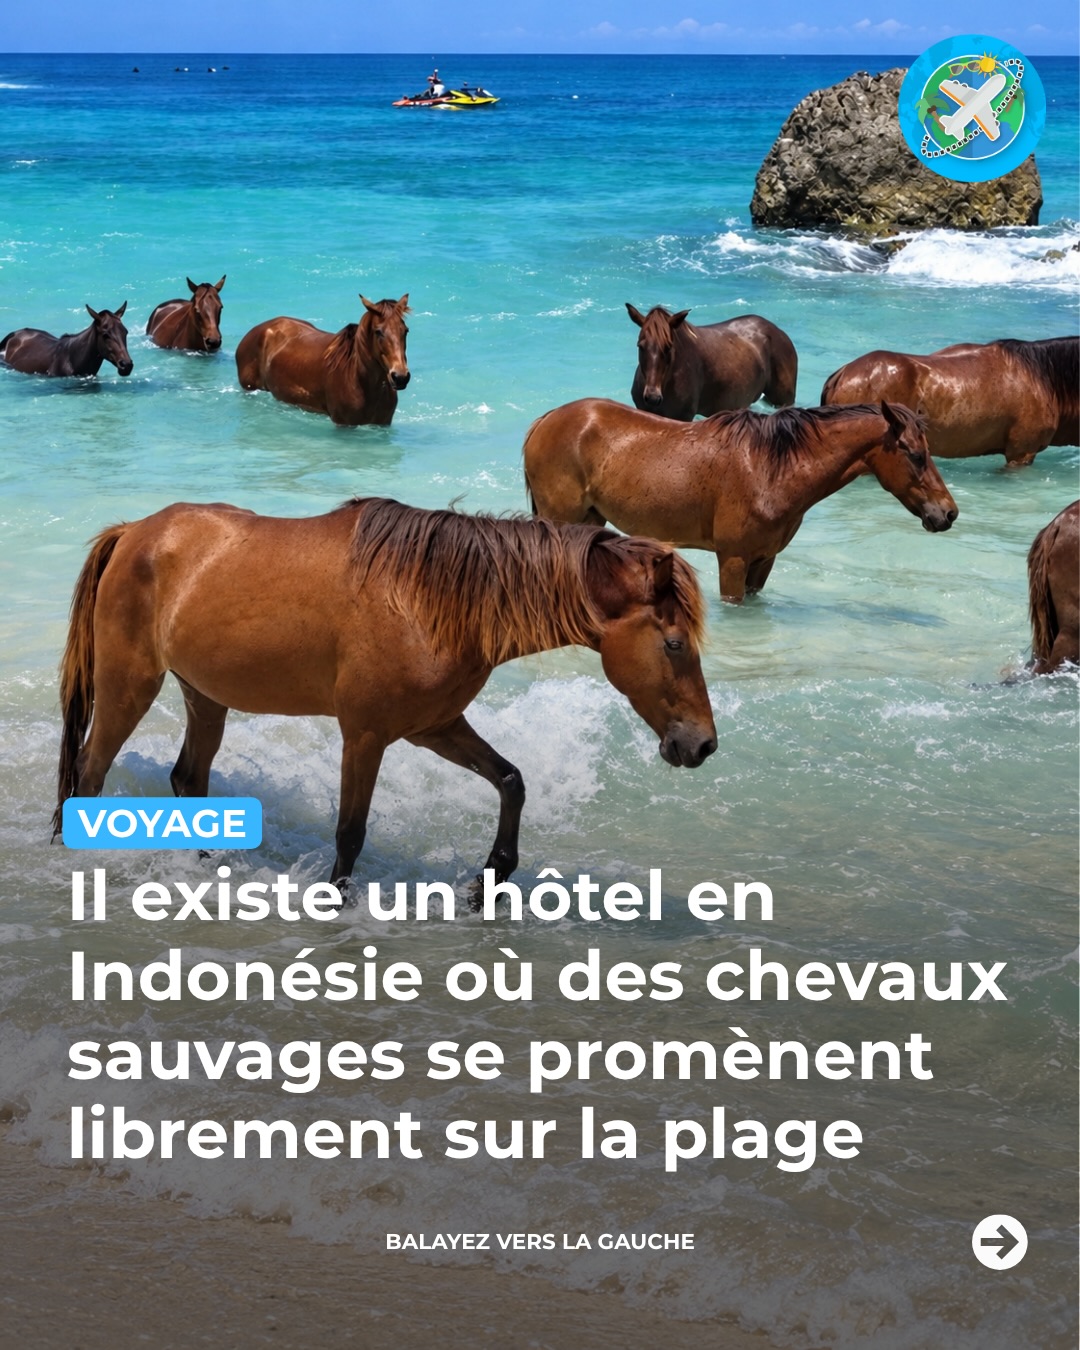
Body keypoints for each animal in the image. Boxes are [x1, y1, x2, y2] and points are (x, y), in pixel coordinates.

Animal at [53, 497, 716, 892]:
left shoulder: (435, 726)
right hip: (129, 685)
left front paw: (491, 879)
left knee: (188, 780)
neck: (429, 596)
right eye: (675, 644)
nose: (703, 745)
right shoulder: (366, 735)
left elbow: (511, 781)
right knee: (89, 772)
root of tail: (134, 533)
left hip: (205, 694)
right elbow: (350, 833)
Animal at [523, 399, 957, 603]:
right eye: (916, 455)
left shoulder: (763, 562)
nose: (948, 513)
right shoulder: (732, 560)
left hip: (590, 520)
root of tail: (545, 421)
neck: (771, 470)